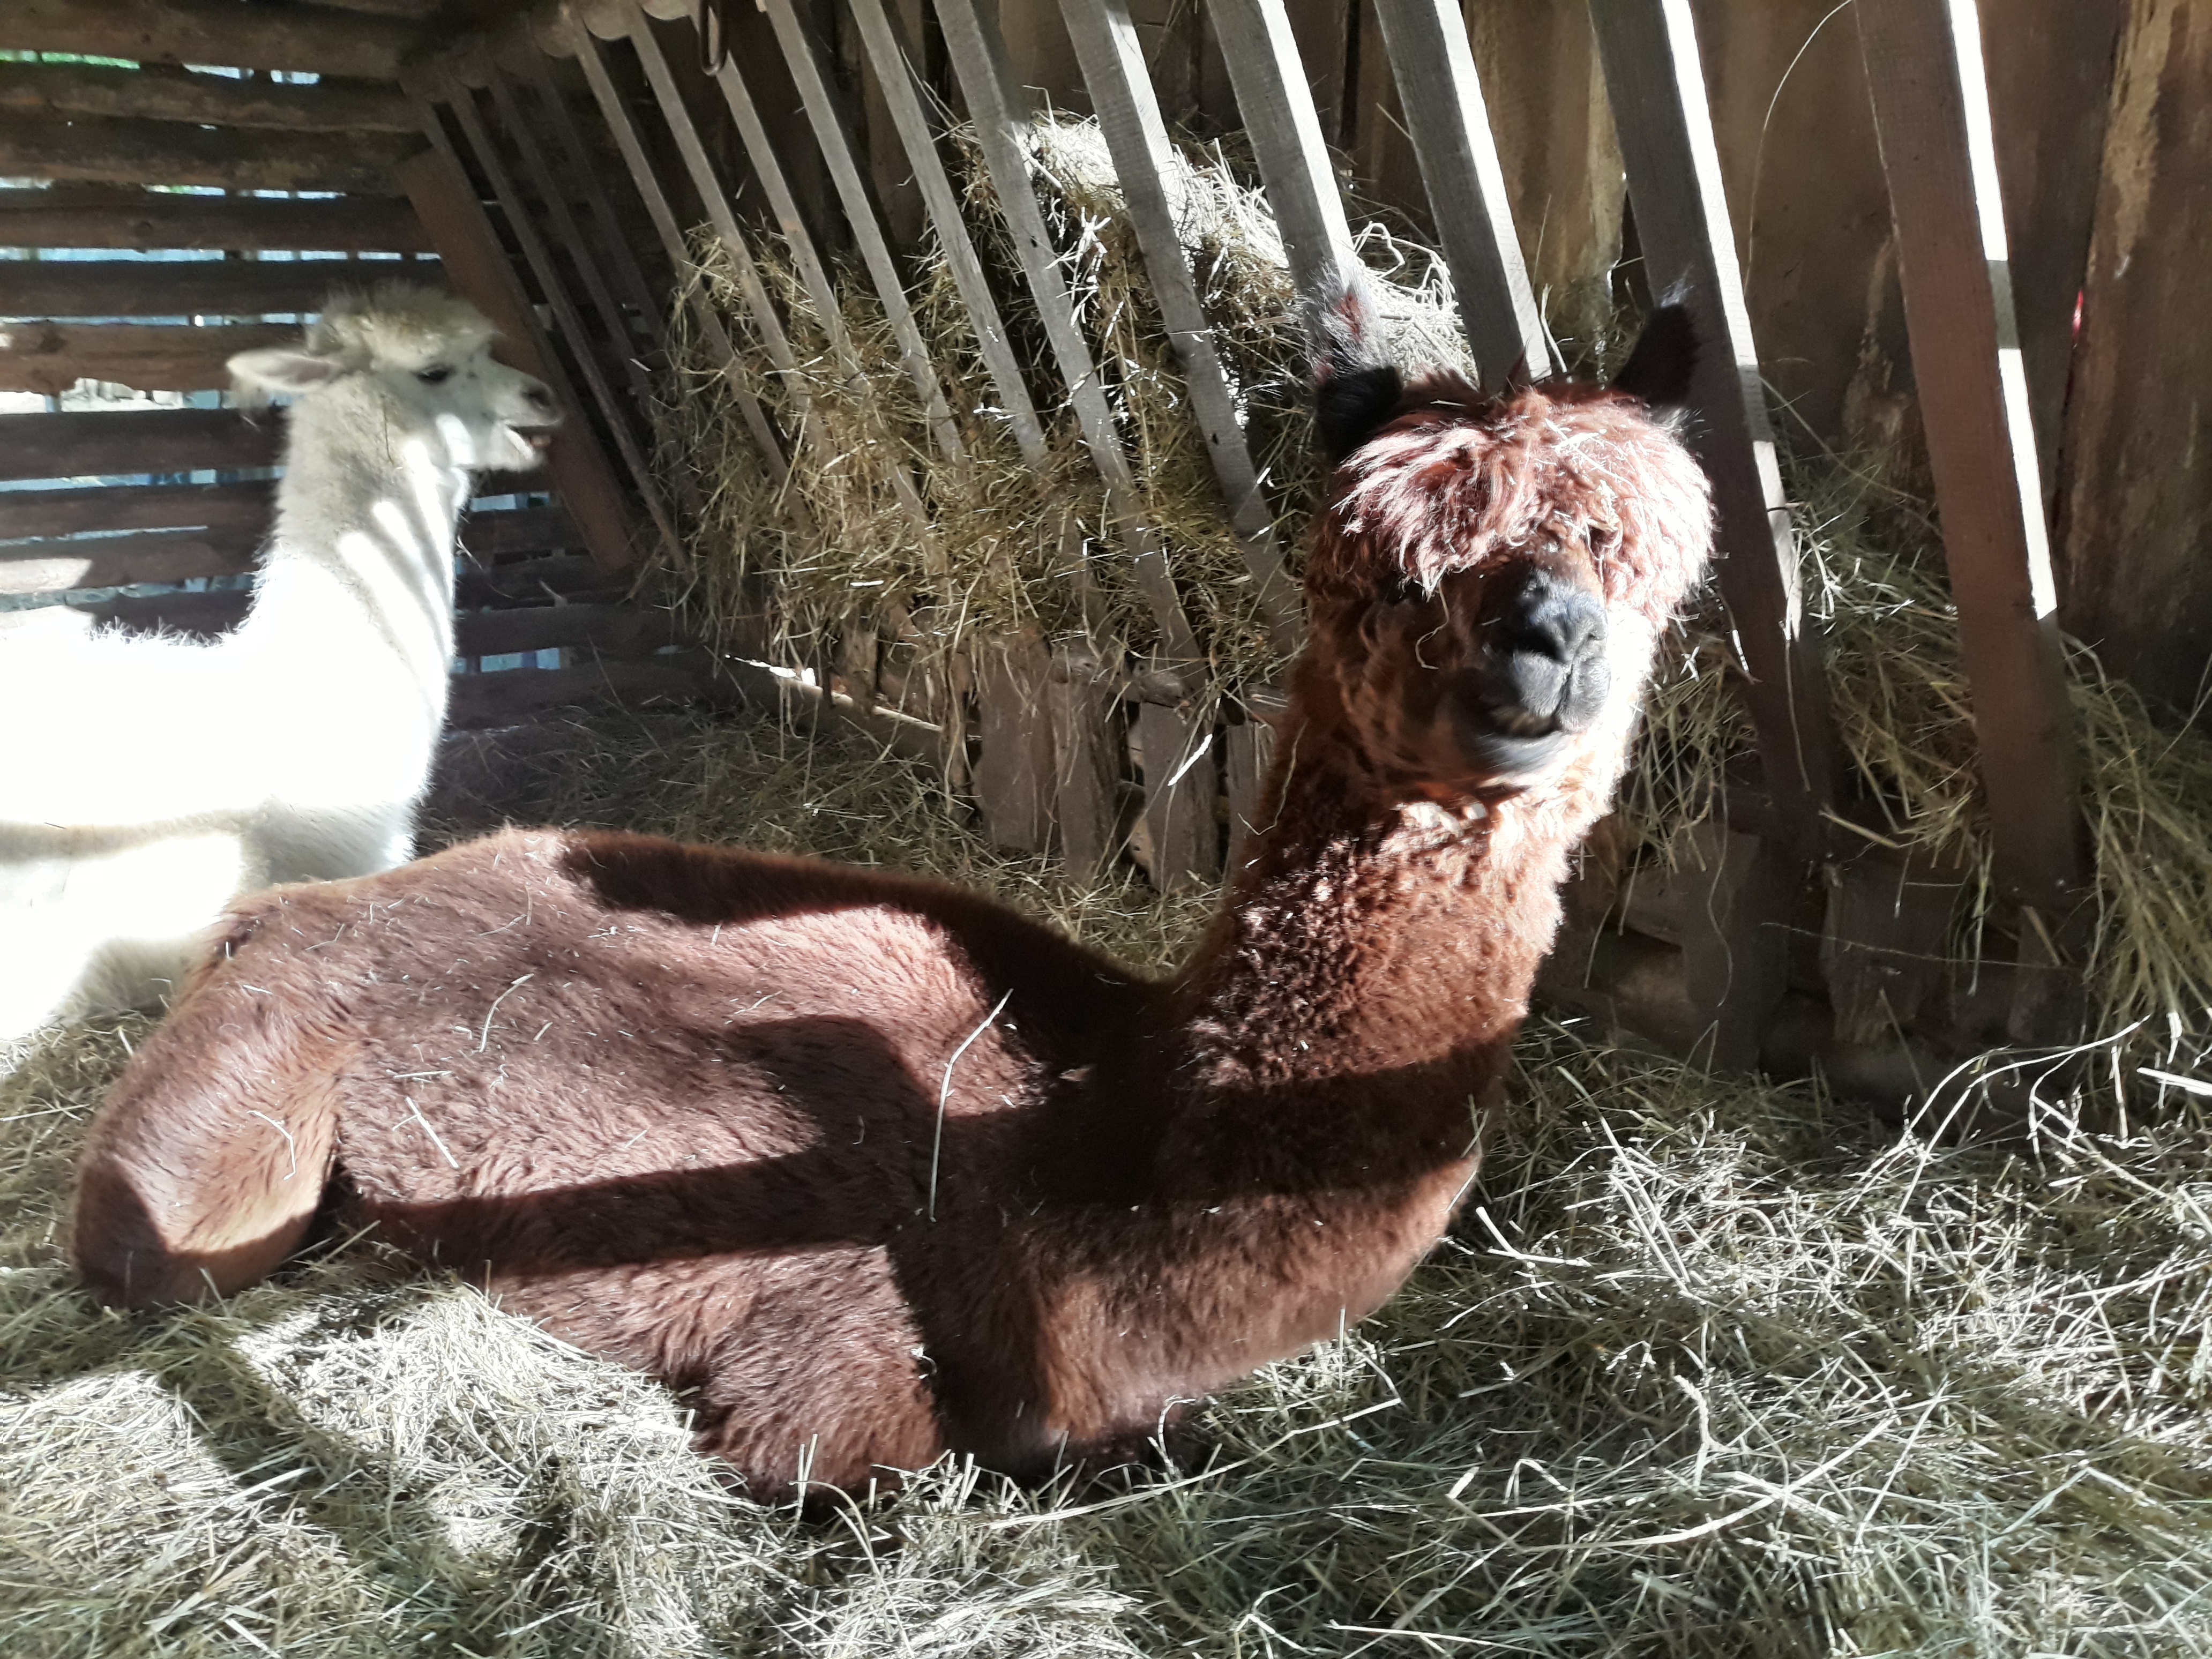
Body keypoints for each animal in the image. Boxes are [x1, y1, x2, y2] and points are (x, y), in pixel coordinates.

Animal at [71, 283, 1712, 1500]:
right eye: (1374, 573)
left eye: (1640, 559)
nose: (1541, 648)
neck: (1100, 1142)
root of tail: (290, 917)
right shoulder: (834, 1381)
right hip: (222, 1153)